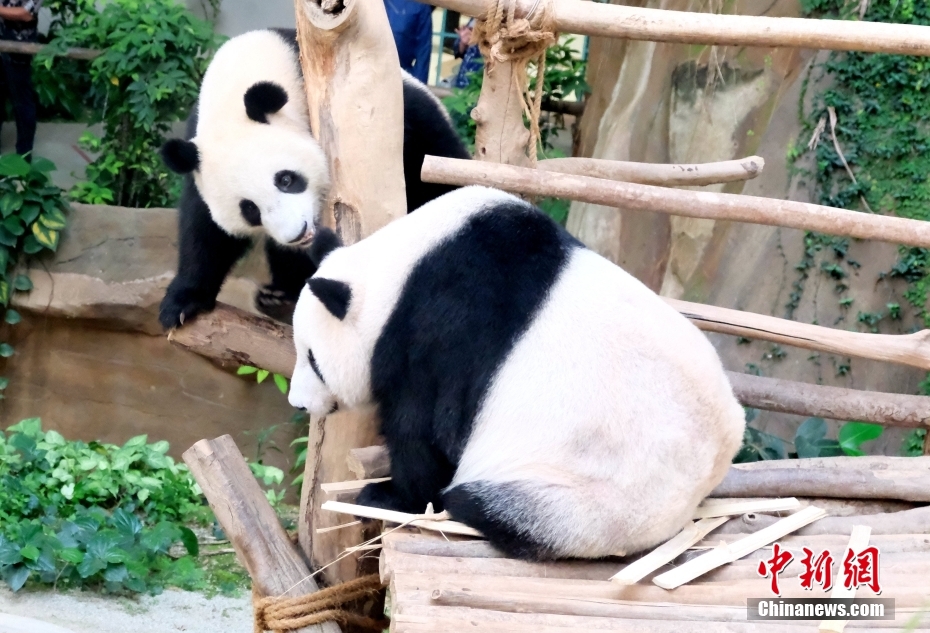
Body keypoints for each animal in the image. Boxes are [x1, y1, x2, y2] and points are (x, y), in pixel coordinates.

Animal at [158, 29, 470, 329]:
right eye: (249, 209)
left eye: (285, 180)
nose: (298, 233)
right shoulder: (196, 152)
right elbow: (206, 231)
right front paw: (183, 302)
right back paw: (279, 297)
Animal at [287, 185, 746, 561]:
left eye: (312, 359)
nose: (298, 403)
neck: (400, 272)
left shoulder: (448, 326)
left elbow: (428, 433)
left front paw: (387, 496)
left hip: (589, 498)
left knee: (493, 504)